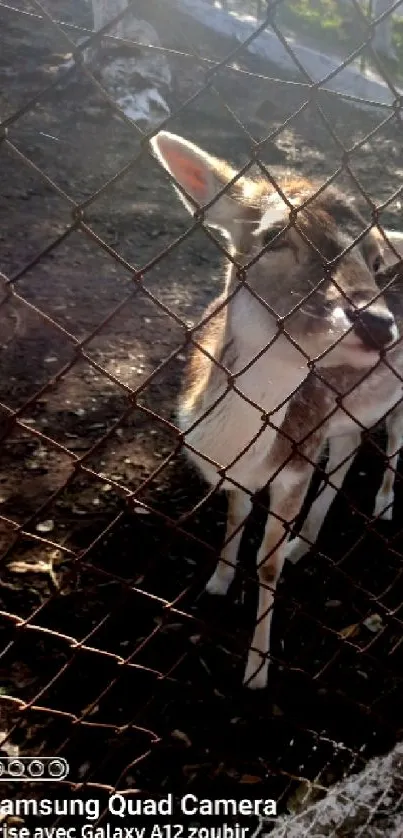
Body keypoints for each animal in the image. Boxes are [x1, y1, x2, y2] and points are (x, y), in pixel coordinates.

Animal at [149, 130, 398, 688]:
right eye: (273, 236)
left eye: (376, 262)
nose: (377, 323)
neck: (232, 448)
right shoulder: (250, 467)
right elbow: (235, 515)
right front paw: (217, 581)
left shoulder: (297, 461)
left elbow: (266, 565)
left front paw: (257, 671)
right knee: (350, 447)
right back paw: (305, 543)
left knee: (395, 437)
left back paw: (384, 504)